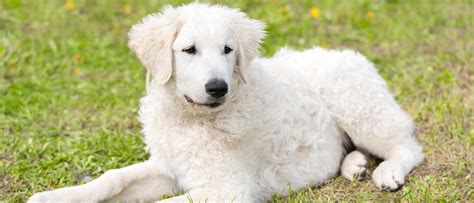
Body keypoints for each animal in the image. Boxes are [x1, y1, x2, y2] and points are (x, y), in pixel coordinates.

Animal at [27, 3, 424, 203]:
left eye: (228, 50)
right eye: (189, 50)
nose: (217, 88)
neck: (190, 119)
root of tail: (349, 53)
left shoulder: (225, 189)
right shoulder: (170, 166)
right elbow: (113, 178)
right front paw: (55, 197)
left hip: (358, 107)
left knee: (408, 146)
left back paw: (387, 171)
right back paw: (354, 165)